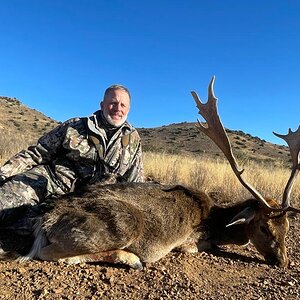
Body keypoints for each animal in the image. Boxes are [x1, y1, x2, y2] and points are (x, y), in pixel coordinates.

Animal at [18, 76, 300, 268]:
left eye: (287, 226)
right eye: (263, 227)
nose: (283, 262)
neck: (216, 219)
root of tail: (44, 221)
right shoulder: (190, 240)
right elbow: (195, 247)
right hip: (124, 223)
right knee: (48, 254)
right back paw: (130, 258)